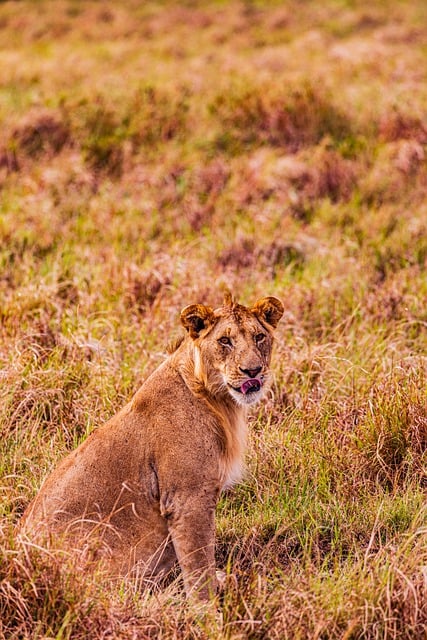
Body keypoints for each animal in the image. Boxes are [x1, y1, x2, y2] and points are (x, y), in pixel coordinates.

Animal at [21, 292, 286, 604]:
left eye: (259, 337)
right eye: (225, 341)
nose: (253, 371)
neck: (218, 402)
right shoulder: (187, 499)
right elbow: (199, 564)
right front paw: (207, 610)